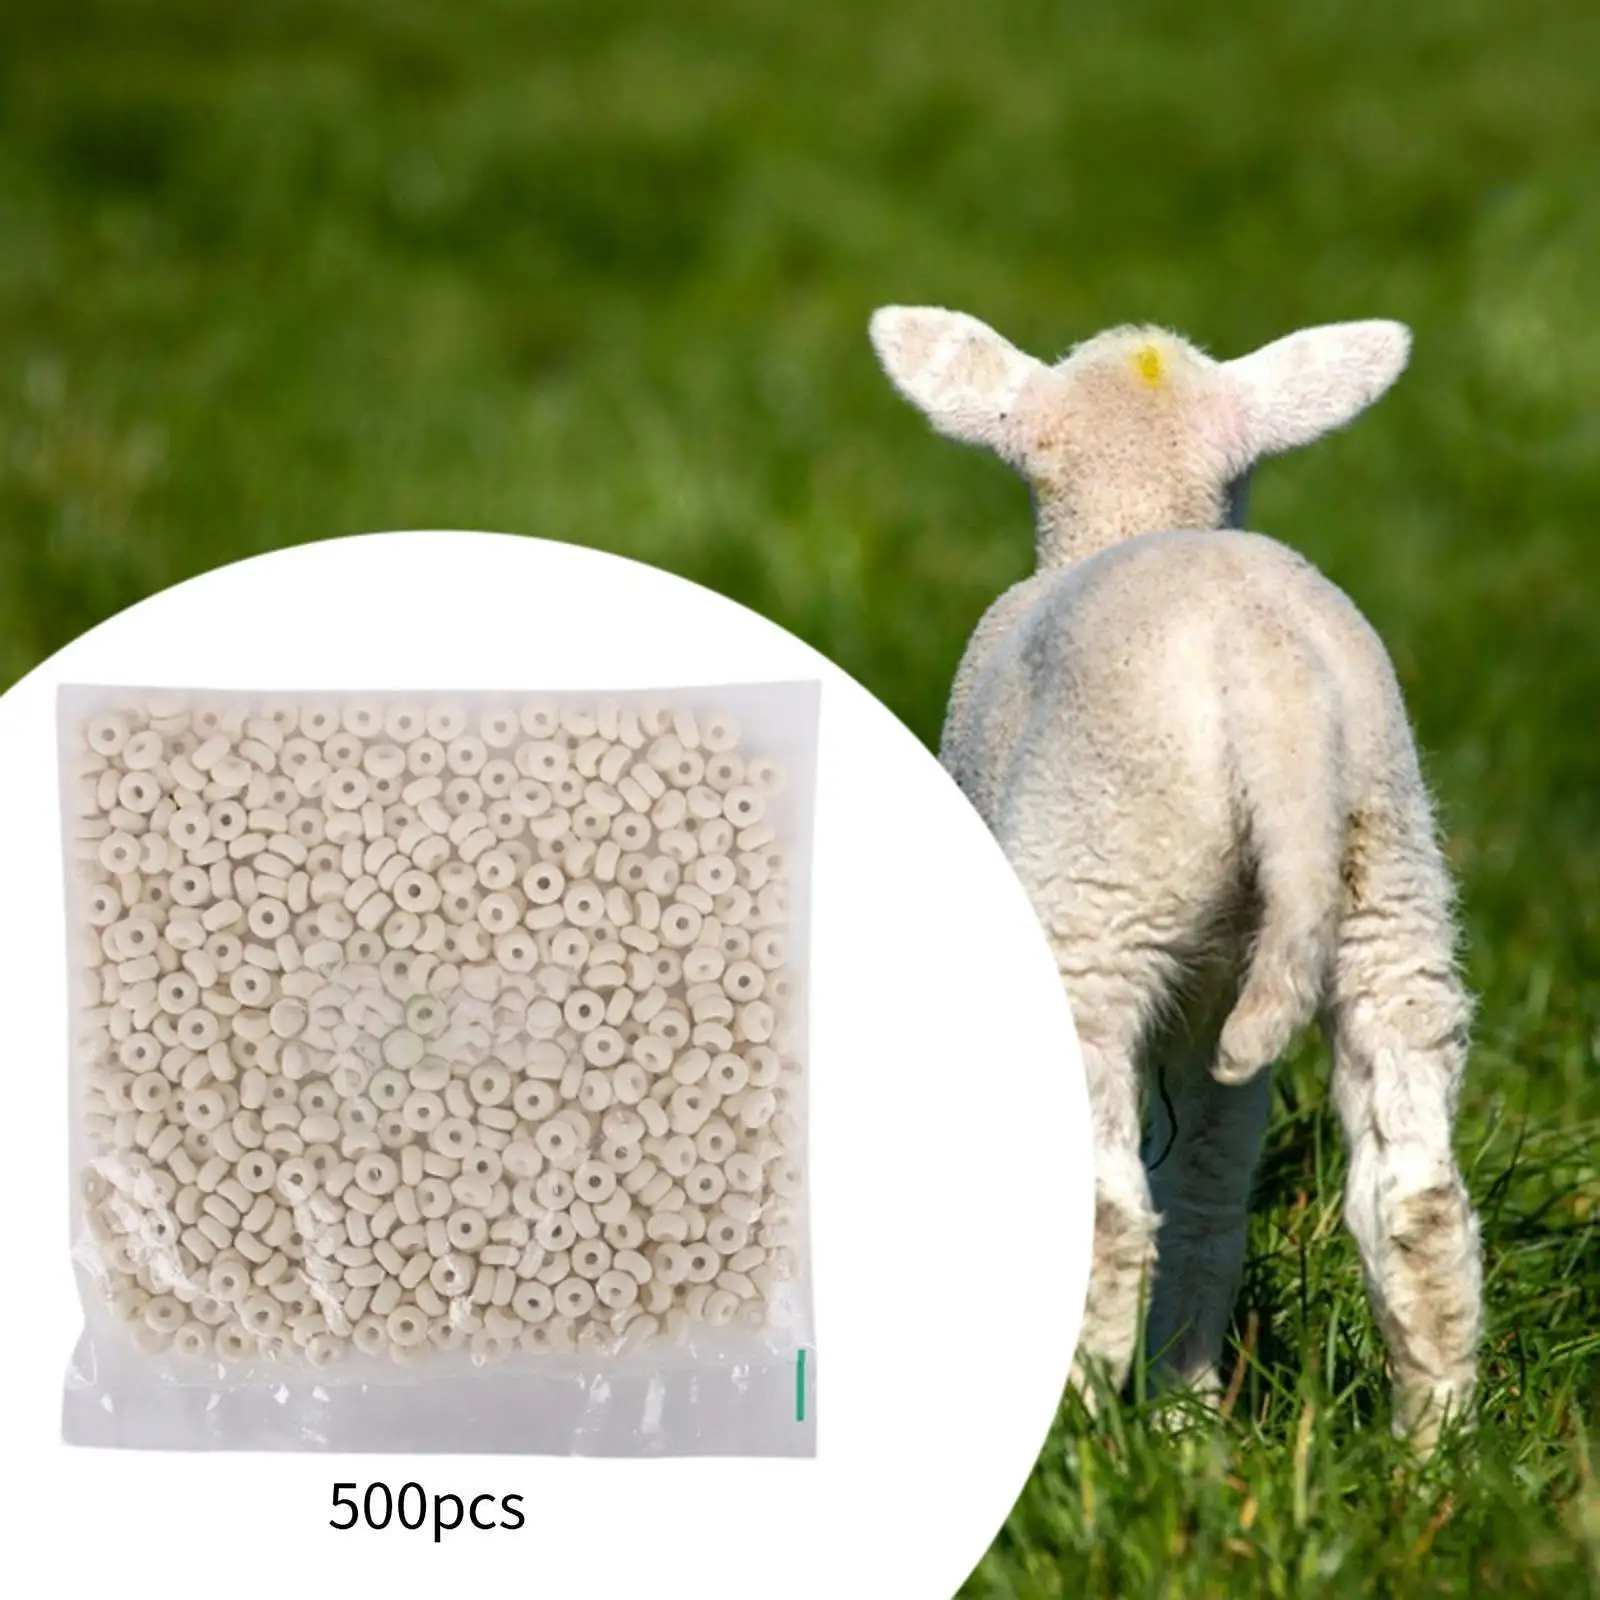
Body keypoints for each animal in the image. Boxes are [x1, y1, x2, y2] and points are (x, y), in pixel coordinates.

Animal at [868, 305, 1483, 1449]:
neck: (1135, 510)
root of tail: (1267, 676)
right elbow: (1206, 1180)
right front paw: (1186, 1402)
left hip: (1099, 890)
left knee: (1108, 1210)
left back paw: (1075, 1442)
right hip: (1386, 880)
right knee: (1409, 1197)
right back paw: (1426, 1451)